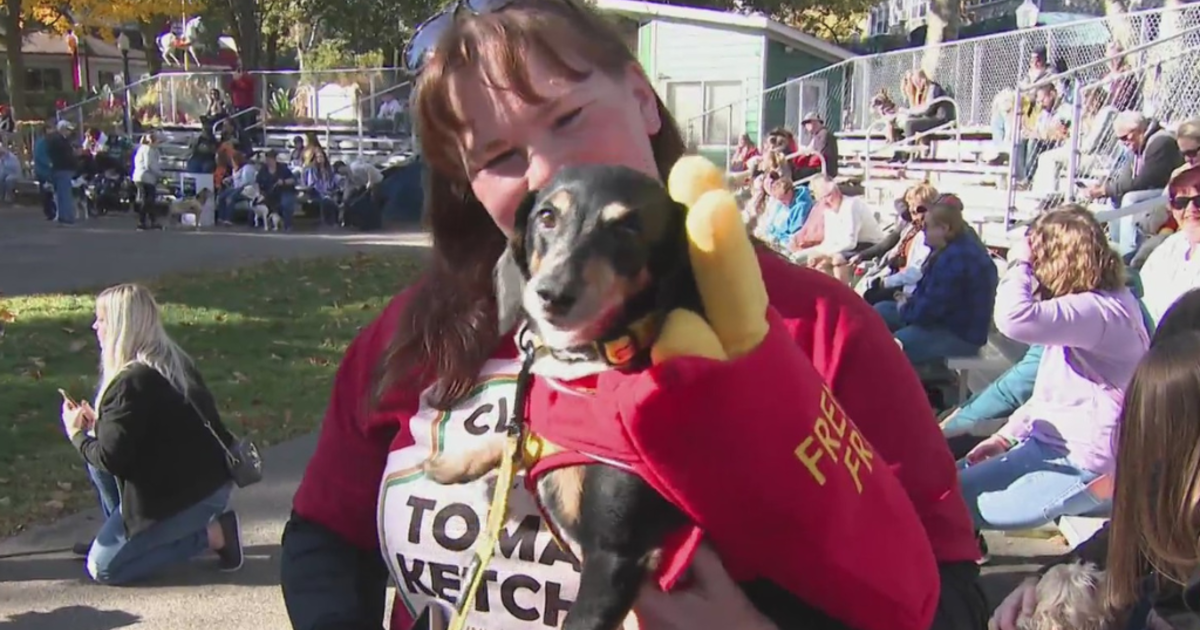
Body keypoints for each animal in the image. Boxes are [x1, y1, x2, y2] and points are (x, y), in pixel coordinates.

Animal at [422, 164, 816, 628]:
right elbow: (516, 435)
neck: (595, 364)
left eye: (628, 227)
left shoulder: (616, 558)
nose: (551, 294)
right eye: (547, 216)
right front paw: (455, 462)